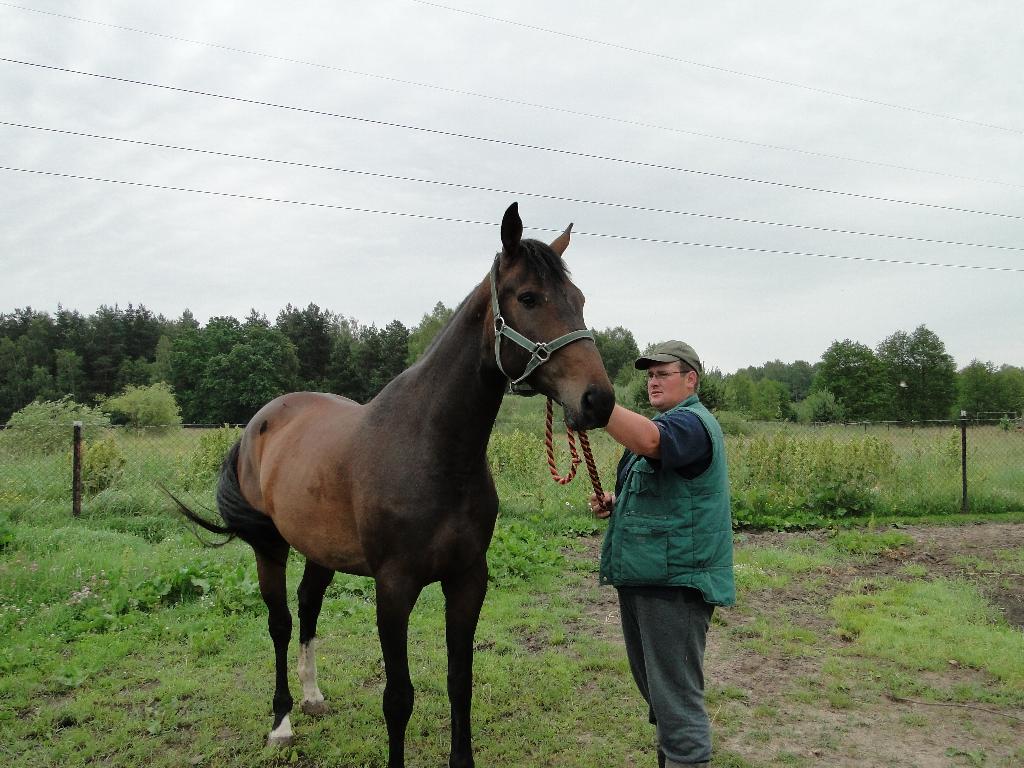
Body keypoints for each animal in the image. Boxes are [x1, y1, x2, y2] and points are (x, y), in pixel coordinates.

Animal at [174, 204, 614, 768]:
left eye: (578, 300)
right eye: (529, 298)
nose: (598, 401)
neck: (432, 451)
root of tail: (261, 422)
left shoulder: (468, 580)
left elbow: (460, 682)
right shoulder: (394, 588)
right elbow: (398, 697)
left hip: (319, 548)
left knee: (308, 605)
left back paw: (313, 697)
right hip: (270, 546)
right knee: (280, 622)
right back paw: (282, 722)